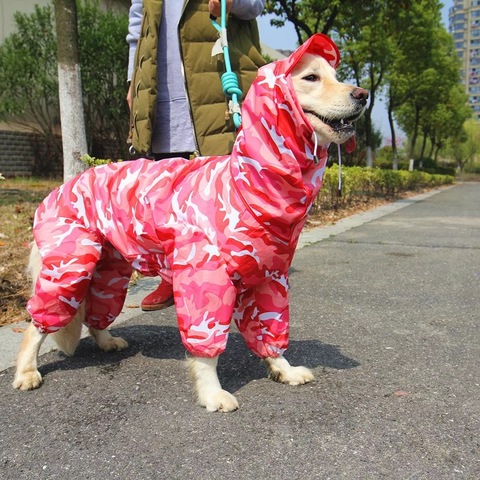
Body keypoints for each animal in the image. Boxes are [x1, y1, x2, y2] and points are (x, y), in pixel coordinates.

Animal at [12, 33, 368, 410]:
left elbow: (270, 328)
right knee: (37, 322)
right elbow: (206, 348)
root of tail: (59, 188)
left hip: (110, 268)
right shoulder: (204, 275)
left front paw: (282, 368)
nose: (362, 94)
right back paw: (26, 371)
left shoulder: (269, 277)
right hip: (71, 265)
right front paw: (212, 393)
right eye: (311, 78)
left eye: (336, 75)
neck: (246, 186)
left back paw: (106, 340)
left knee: (97, 308)